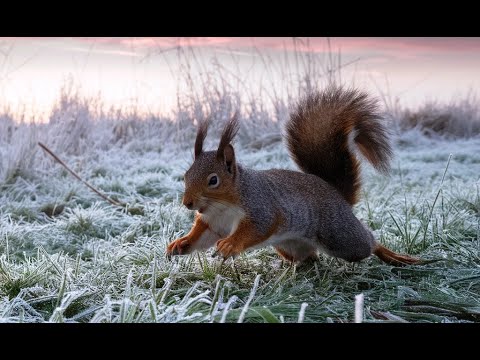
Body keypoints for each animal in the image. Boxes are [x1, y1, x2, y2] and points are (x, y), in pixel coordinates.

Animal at [166, 83, 420, 264]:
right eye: (186, 176)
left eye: (213, 180)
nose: (187, 203)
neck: (222, 206)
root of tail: (336, 194)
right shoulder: (213, 224)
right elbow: (201, 237)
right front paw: (181, 243)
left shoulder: (262, 209)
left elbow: (254, 229)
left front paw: (230, 245)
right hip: (290, 245)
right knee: (307, 258)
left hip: (340, 235)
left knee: (367, 243)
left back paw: (393, 255)